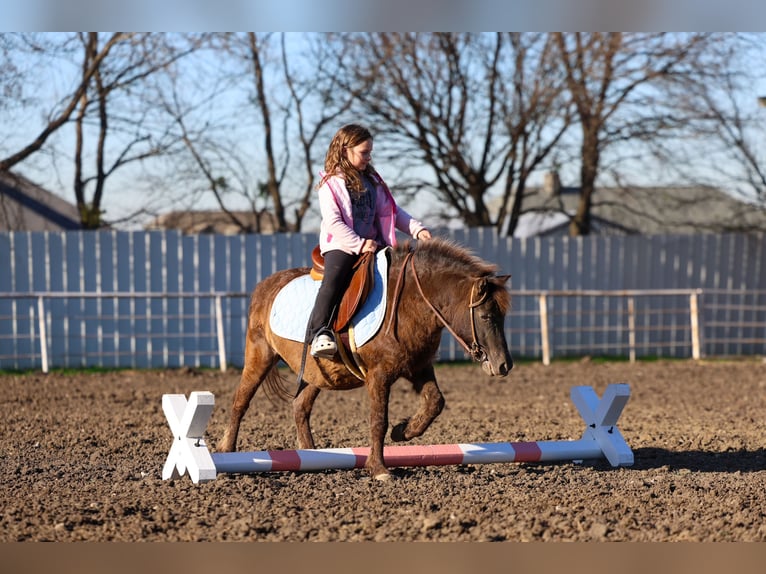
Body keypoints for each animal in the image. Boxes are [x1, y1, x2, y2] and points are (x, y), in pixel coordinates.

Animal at [218, 237, 514, 480]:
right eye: (486, 315)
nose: (503, 365)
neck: (409, 301)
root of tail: (266, 285)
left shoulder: (418, 367)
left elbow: (435, 402)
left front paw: (403, 431)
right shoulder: (379, 375)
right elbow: (379, 420)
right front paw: (379, 468)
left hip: (319, 373)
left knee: (300, 406)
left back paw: (311, 456)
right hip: (260, 355)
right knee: (240, 401)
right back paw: (227, 450)